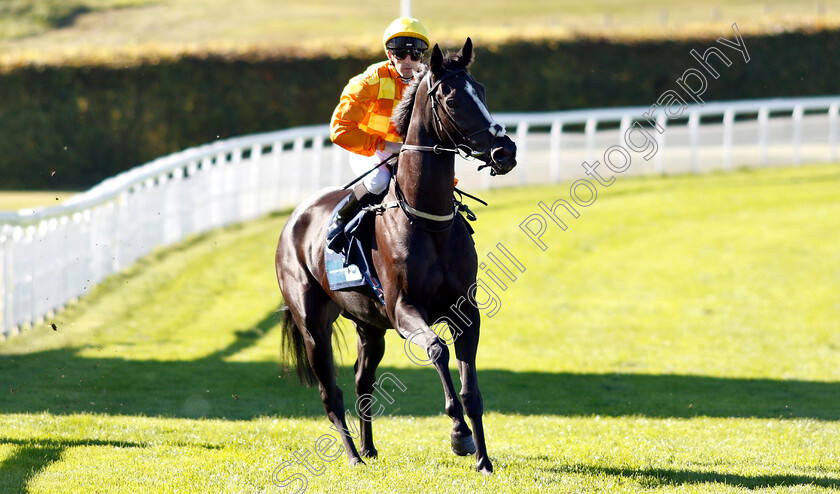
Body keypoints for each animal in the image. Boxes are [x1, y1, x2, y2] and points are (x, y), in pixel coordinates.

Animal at [272, 38, 516, 474]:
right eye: (452, 99)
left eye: (482, 90)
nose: (506, 151)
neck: (428, 222)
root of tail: (294, 221)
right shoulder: (403, 310)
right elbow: (437, 350)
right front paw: (459, 435)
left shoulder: (465, 311)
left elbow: (471, 390)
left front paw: (483, 459)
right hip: (312, 325)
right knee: (331, 393)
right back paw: (353, 456)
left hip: (369, 326)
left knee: (361, 382)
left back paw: (369, 448)